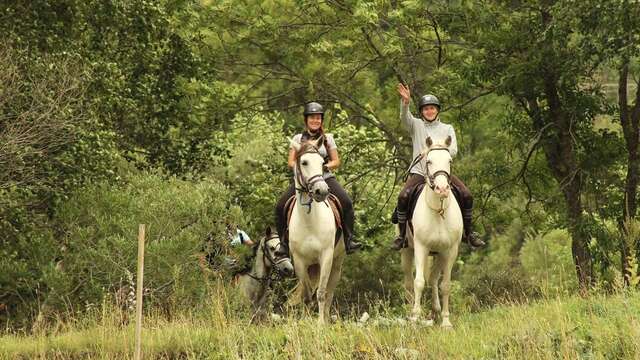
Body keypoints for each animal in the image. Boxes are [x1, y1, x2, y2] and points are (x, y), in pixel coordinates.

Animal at [288, 136, 344, 324]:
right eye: (304, 162)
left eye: (322, 162)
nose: (322, 191)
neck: (310, 222)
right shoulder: (299, 260)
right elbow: (306, 294)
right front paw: (305, 321)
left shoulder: (326, 257)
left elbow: (321, 293)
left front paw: (320, 324)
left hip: (337, 262)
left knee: (329, 292)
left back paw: (326, 318)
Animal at [402, 136, 462, 330]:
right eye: (429, 161)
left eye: (449, 161)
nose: (442, 189)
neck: (438, 210)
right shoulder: (421, 248)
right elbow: (419, 282)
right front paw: (415, 318)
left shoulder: (450, 251)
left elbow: (445, 285)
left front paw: (446, 321)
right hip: (407, 251)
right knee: (408, 282)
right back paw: (409, 312)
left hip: (439, 254)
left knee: (434, 279)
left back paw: (436, 310)